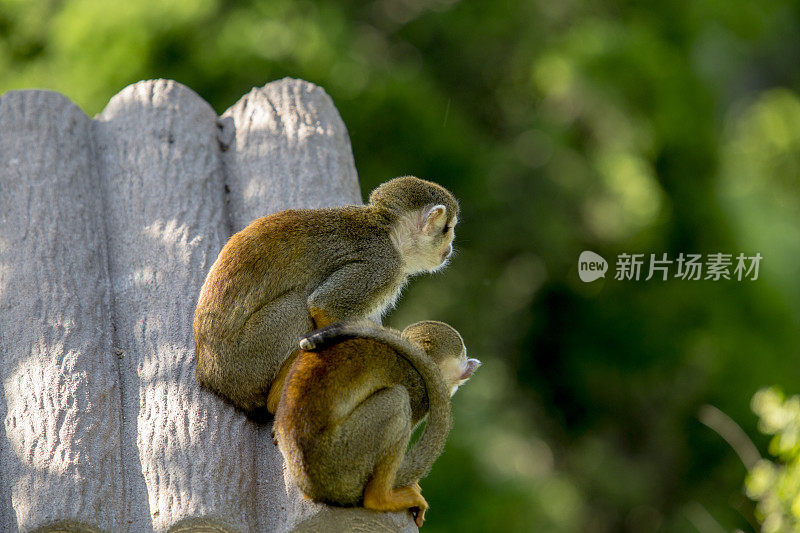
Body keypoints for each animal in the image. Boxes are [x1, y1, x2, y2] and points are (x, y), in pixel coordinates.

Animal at [192, 176, 462, 416]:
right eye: (448, 229)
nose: (449, 248)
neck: (389, 235)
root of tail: (207, 372)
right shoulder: (381, 265)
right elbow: (325, 306)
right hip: (243, 360)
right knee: (298, 306)